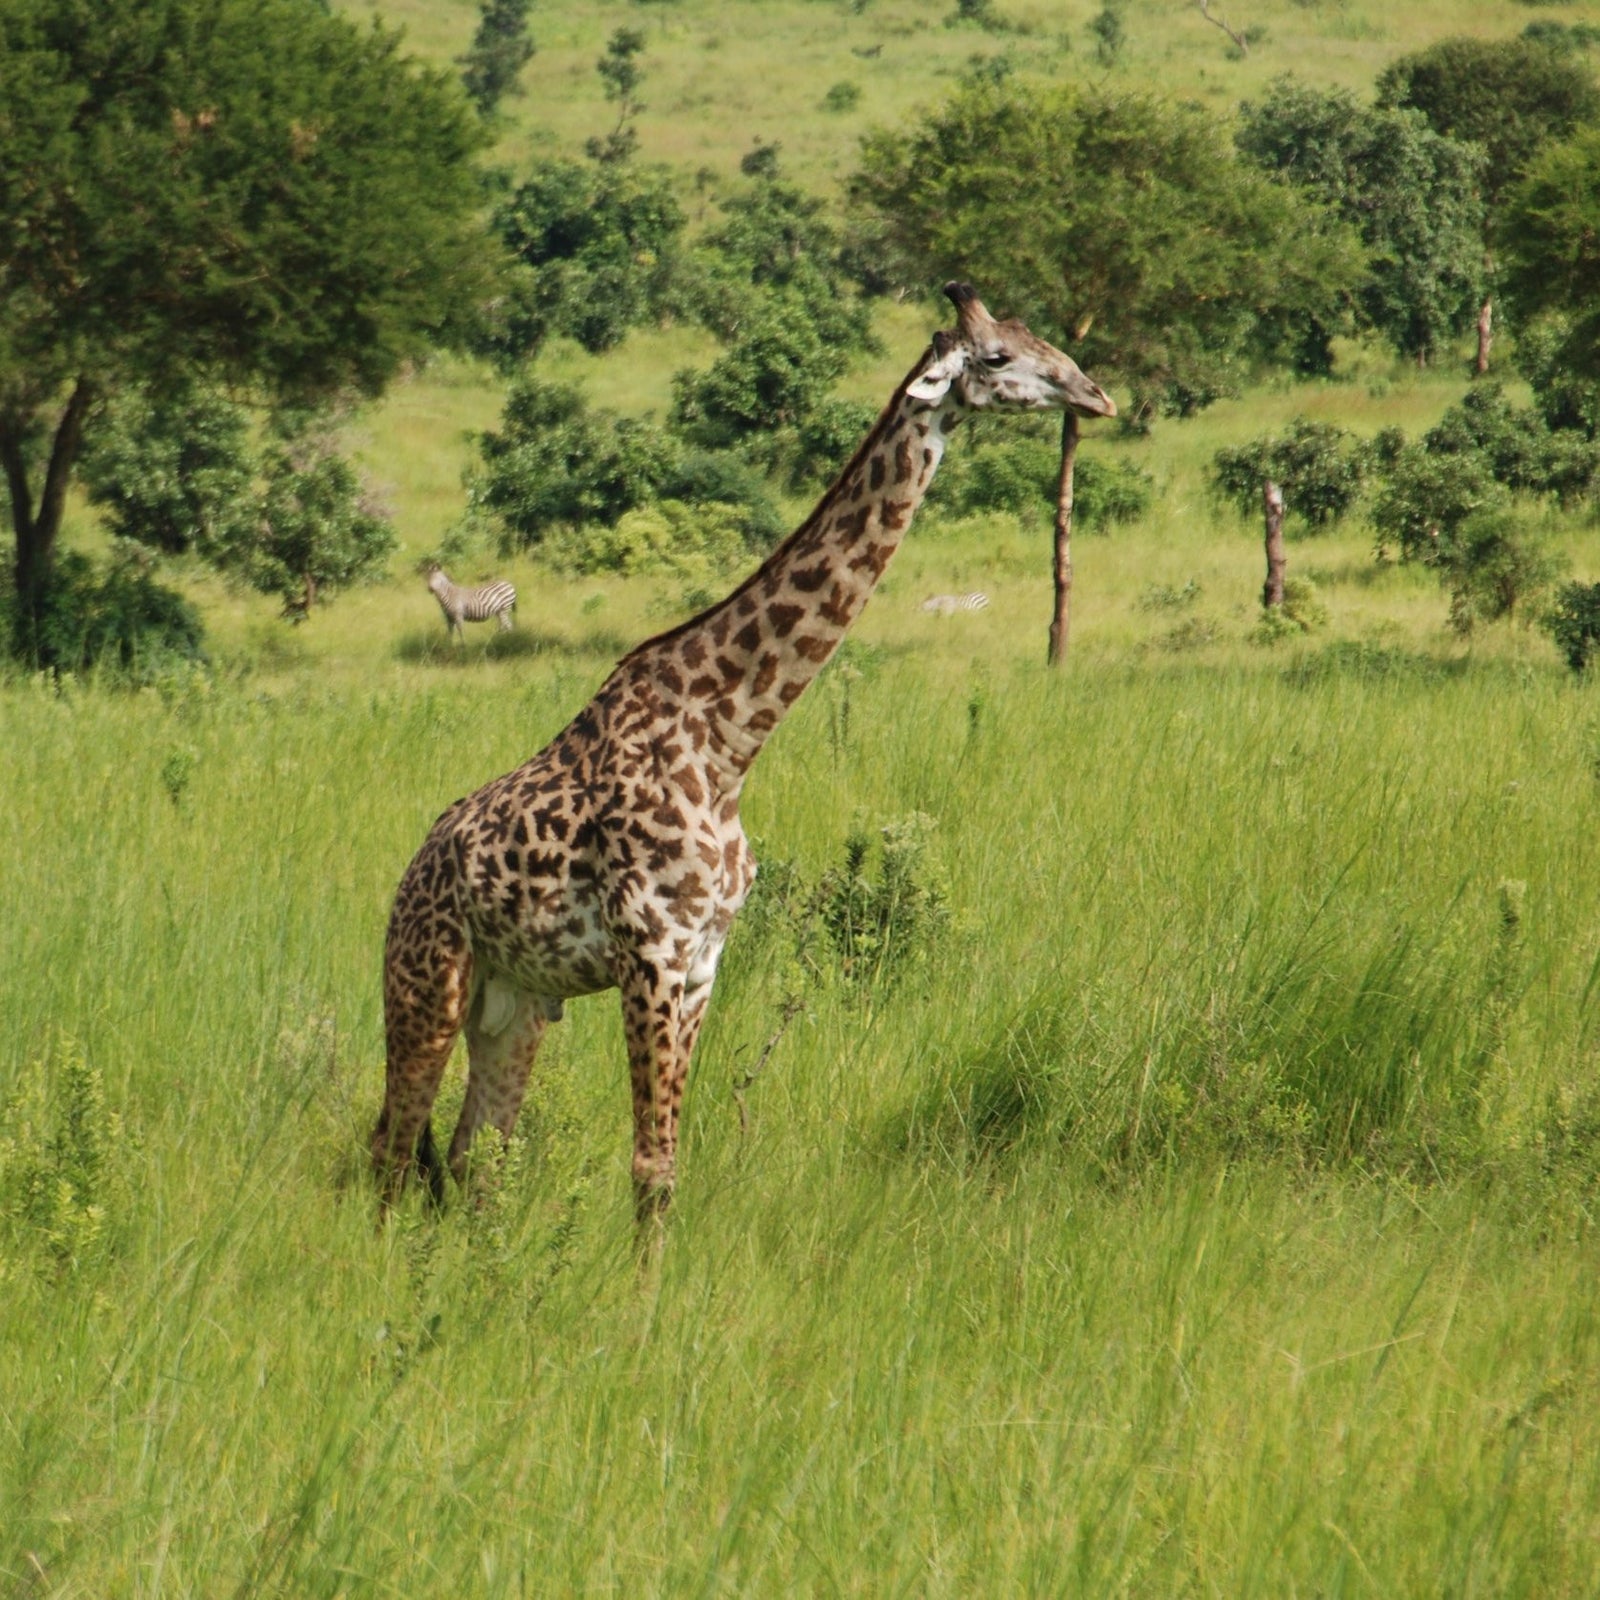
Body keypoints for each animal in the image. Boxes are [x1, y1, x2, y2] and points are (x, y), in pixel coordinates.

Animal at [376, 281, 1120, 1216]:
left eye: (1038, 336)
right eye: (997, 357)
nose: (1097, 395)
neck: (730, 740)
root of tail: (407, 875)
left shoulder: (703, 960)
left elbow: (665, 1161)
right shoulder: (651, 952)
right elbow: (650, 1166)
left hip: (513, 1001)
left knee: (475, 1157)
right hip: (426, 983)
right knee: (393, 1152)